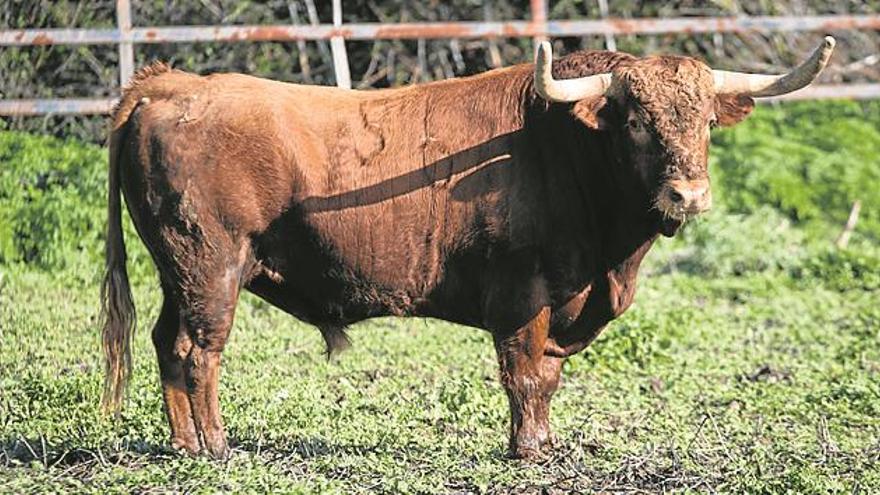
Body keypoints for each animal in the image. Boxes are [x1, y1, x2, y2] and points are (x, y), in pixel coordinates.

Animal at [99, 36, 836, 460]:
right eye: (634, 120)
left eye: (706, 119)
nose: (688, 194)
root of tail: (172, 83)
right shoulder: (522, 290)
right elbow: (526, 373)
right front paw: (529, 450)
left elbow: (548, 375)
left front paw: (545, 440)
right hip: (211, 264)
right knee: (200, 350)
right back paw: (216, 447)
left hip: (177, 269)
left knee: (167, 343)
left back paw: (183, 443)